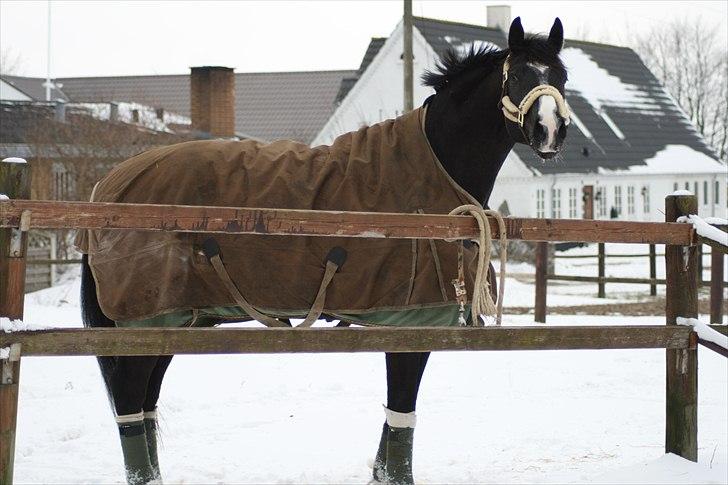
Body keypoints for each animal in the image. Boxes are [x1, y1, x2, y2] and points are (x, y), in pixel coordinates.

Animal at [79, 17, 568, 482]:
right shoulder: (413, 324)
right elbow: (402, 411)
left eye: (560, 75)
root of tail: (108, 187)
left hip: (174, 322)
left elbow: (396, 422)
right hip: (148, 322)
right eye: (517, 75)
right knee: (129, 403)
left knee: (144, 405)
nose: (550, 131)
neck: (430, 172)